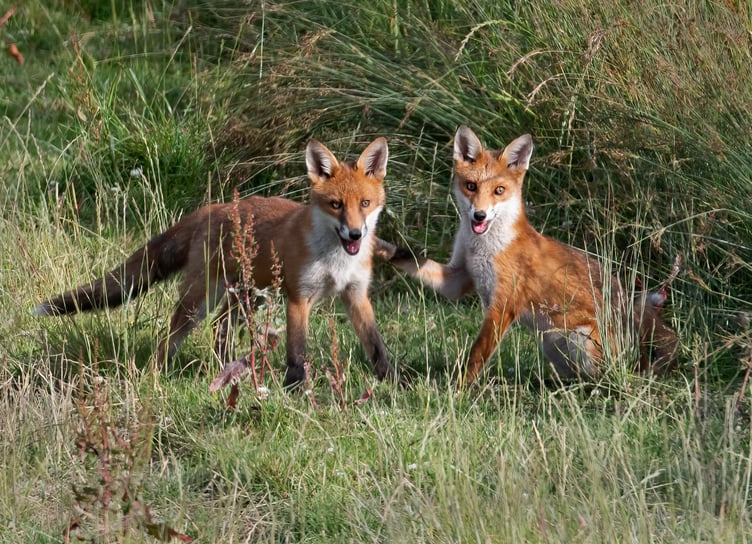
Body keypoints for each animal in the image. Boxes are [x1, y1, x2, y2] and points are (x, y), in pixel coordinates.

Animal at [35, 137, 395, 388]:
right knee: (170, 339)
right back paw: (155, 376)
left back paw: (226, 372)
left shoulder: (356, 294)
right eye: (336, 205)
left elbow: (377, 347)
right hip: (200, 300)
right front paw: (295, 391)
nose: (354, 234)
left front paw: (393, 382)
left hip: (248, 297)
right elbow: (297, 354)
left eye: (365, 203)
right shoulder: (298, 297)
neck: (336, 260)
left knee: (219, 330)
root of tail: (210, 209)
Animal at [380, 126, 678, 385]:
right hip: (551, 344)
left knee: (608, 379)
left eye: (499, 191)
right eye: (471, 186)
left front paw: (458, 389)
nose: (479, 216)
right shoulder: (458, 277)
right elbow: (410, 258)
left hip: (580, 340)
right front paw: (381, 247)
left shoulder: (502, 305)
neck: (485, 247)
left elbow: (476, 356)